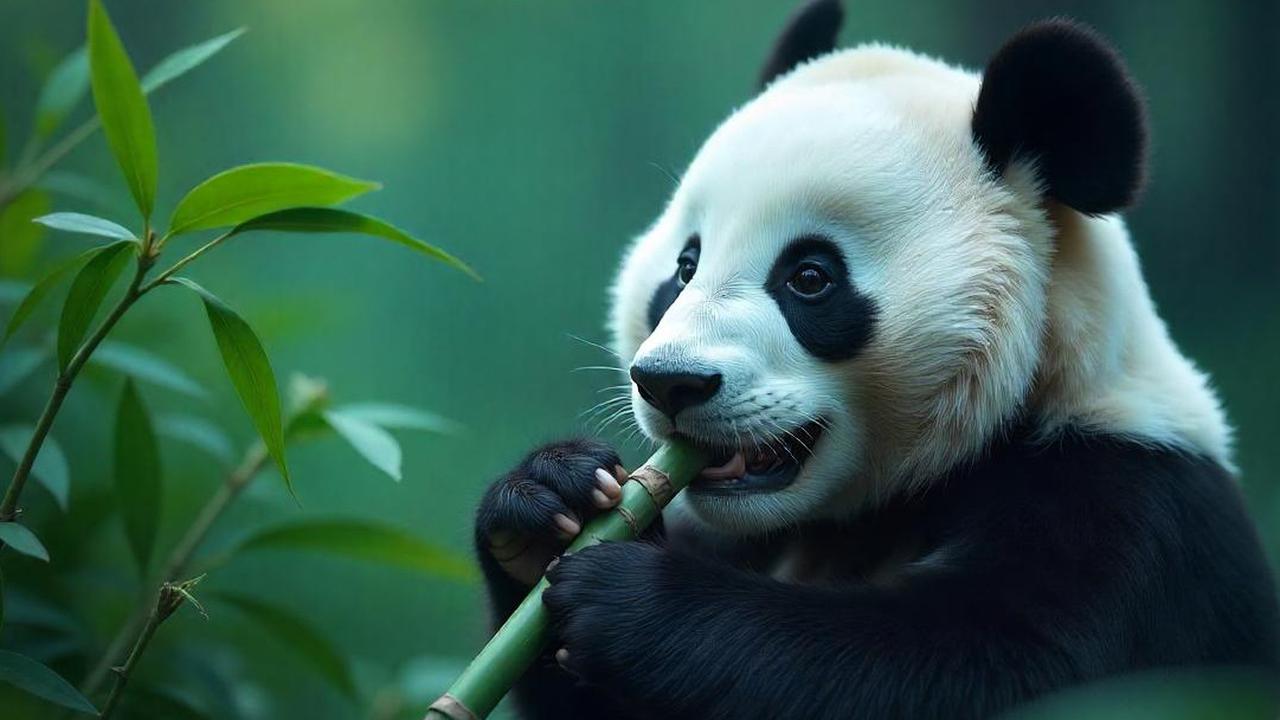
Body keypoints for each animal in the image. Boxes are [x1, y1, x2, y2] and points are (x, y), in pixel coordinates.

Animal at [473, 2, 1280, 718]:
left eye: (809, 277)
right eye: (684, 267)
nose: (671, 383)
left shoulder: (1130, 524)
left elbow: (973, 665)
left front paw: (631, 600)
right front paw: (547, 500)